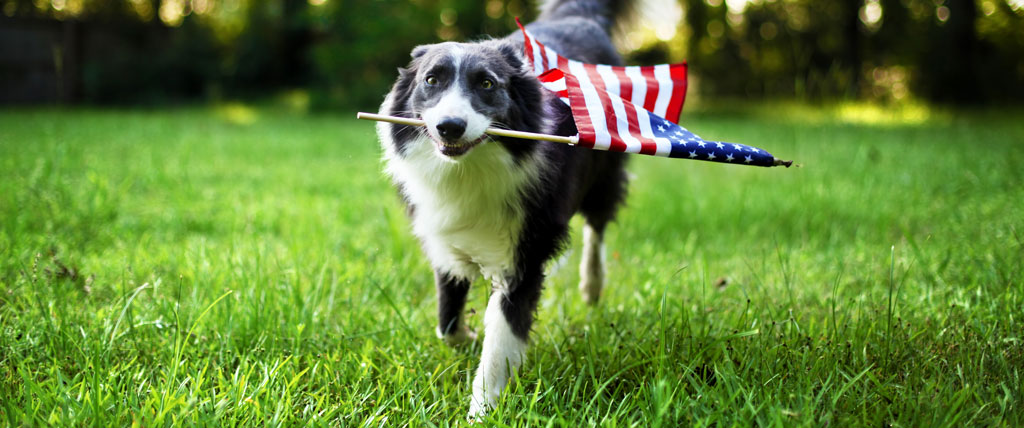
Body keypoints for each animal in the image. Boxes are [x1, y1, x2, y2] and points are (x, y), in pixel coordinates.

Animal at [376, 0, 630, 415]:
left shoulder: (524, 252)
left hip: (605, 169)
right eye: (431, 80)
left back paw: (592, 285)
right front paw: (466, 336)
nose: (450, 126)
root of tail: (579, 16)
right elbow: (446, 321)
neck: (468, 169)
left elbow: (501, 338)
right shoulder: (443, 235)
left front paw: (482, 410)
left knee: (597, 225)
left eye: (487, 84)